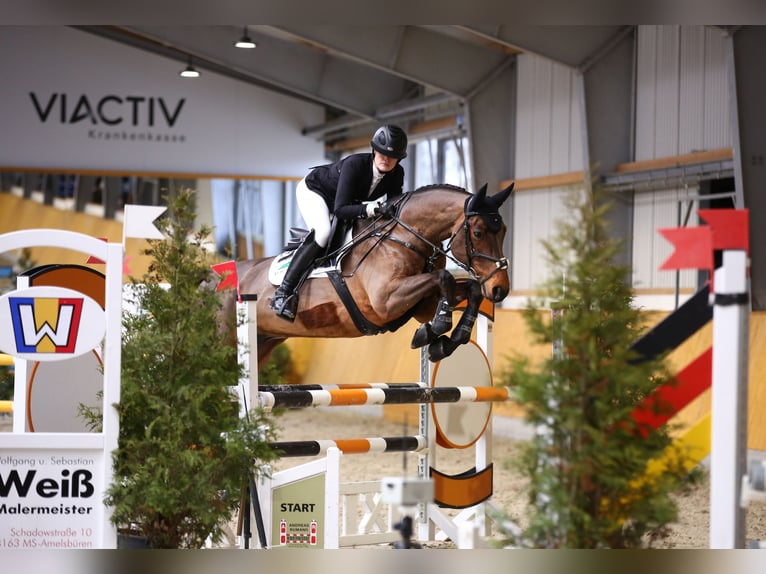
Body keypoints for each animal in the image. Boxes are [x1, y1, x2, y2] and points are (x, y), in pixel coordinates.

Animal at [224, 181, 514, 370]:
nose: (500, 289)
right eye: (478, 233)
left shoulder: (421, 304)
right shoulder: (385, 302)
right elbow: (445, 278)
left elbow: (469, 289)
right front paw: (436, 330)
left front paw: (445, 340)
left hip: (263, 342)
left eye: (504, 231)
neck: (405, 237)